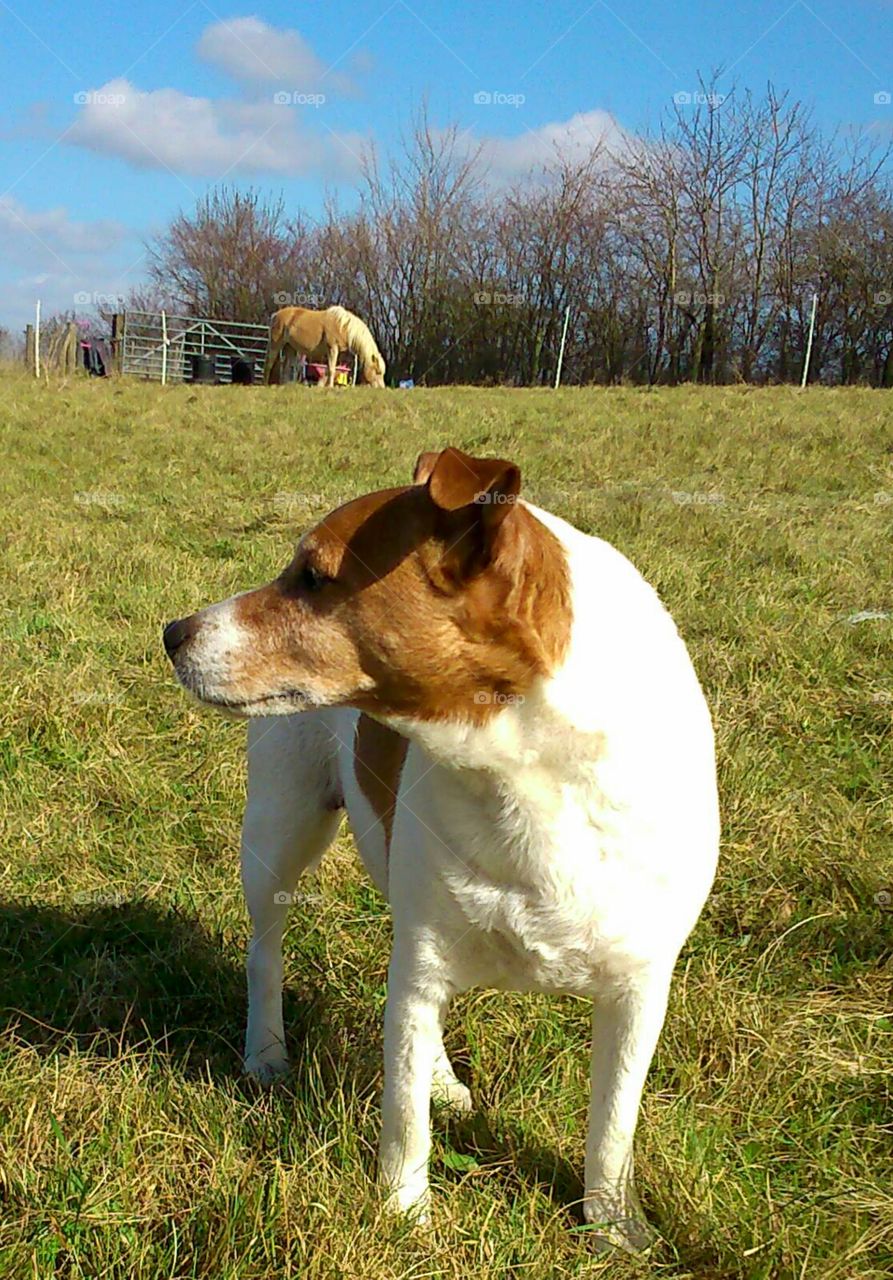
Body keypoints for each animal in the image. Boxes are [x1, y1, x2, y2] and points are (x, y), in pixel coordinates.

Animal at [161, 448, 716, 1249]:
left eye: (314, 577)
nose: (173, 631)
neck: (519, 770)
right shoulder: (419, 966)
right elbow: (403, 1116)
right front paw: (402, 1215)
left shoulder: (639, 988)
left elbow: (613, 1125)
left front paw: (615, 1229)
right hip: (280, 830)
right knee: (266, 952)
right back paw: (266, 1053)